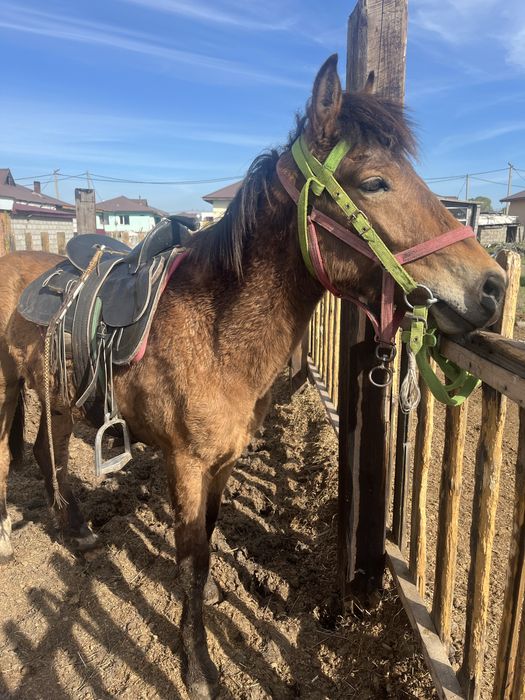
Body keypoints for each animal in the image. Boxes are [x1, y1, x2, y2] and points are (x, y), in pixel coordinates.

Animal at [0, 55, 505, 699]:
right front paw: (197, 665)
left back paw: (76, 530)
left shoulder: (221, 463)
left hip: (58, 401)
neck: (215, 331)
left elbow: (207, 545)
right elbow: (190, 560)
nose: (492, 287)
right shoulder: (186, 464)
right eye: (374, 182)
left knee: (48, 455)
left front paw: (209, 600)